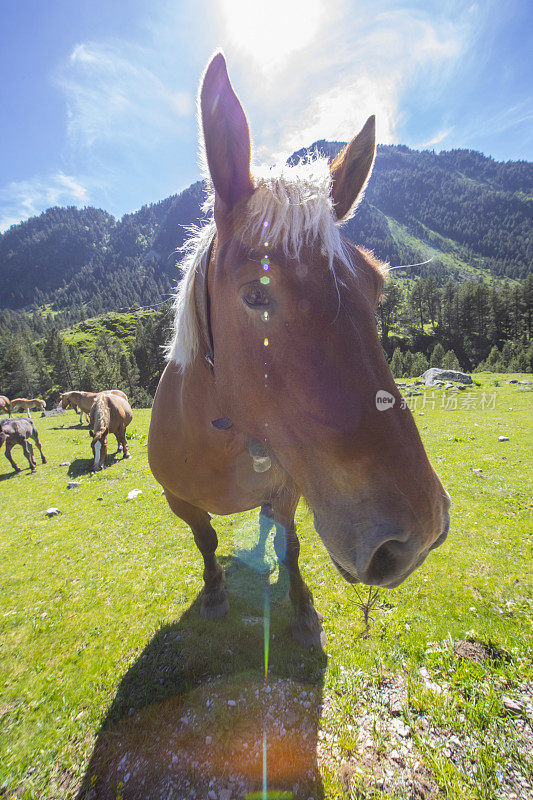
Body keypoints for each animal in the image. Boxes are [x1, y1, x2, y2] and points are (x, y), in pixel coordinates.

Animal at [148, 53, 450, 648]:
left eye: (376, 288)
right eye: (255, 294)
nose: (417, 533)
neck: (222, 438)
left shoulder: (289, 490)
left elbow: (289, 543)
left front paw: (302, 607)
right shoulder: (181, 504)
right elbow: (205, 541)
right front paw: (215, 592)